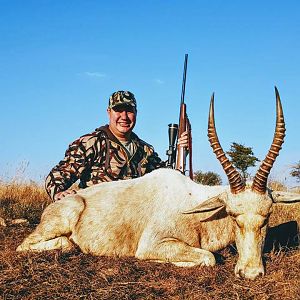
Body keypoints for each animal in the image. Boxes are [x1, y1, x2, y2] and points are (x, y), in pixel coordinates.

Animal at [17, 88, 298, 280]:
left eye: (267, 216)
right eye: (233, 215)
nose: (250, 273)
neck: (196, 209)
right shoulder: (153, 244)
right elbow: (208, 257)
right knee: (37, 245)